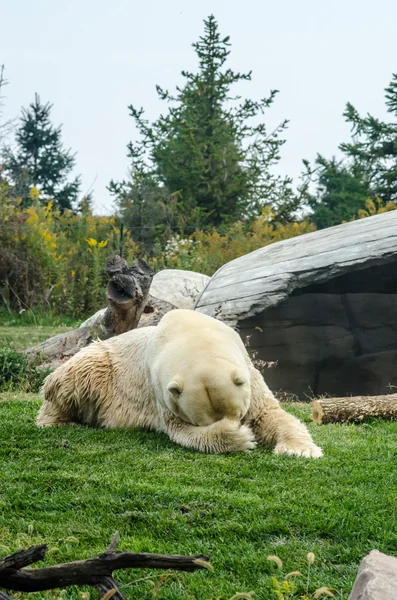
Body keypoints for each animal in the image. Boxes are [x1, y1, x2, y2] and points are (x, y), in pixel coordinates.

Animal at [37, 308, 322, 458]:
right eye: (202, 422)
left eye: (239, 413)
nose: (238, 425)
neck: (194, 333)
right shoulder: (162, 393)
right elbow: (181, 431)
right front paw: (242, 438)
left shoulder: (248, 370)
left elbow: (269, 414)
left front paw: (300, 450)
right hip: (97, 365)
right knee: (73, 378)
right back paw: (57, 421)